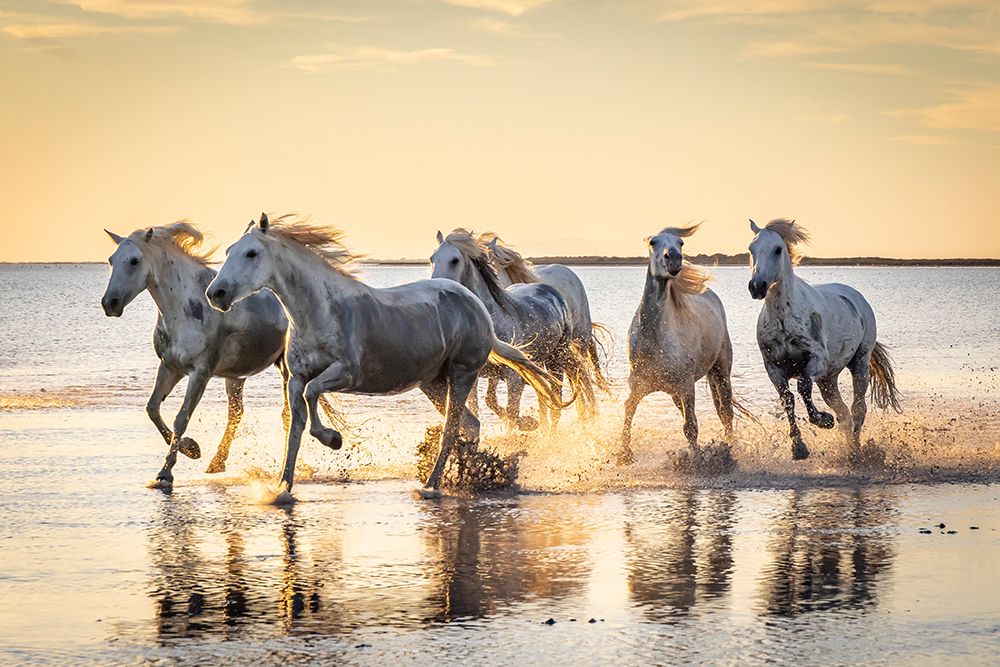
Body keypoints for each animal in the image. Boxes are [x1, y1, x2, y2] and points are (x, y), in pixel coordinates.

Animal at [101, 222, 289, 488]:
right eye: (112, 260)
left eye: (134, 261)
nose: (110, 303)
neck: (184, 308)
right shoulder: (170, 367)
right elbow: (152, 408)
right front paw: (192, 449)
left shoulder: (200, 373)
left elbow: (182, 417)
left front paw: (166, 472)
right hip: (235, 377)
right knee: (236, 413)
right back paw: (216, 463)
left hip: (285, 368)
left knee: (287, 415)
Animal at [430, 229, 577, 431]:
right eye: (432, 258)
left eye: (455, 260)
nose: (435, 285)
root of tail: (552, 292)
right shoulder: (475, 377)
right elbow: (484, 405)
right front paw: (527, 422)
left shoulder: (513, 378)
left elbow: (512, 413)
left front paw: (526, 423)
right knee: (543, 400)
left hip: (556, 360)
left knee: (555, 405)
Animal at [619, 223, 739, 467]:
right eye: (652, 242)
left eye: (680, 242)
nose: (674, 259)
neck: (654, 339)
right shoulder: (638, 385)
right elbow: (628, 410)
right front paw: (623, 454)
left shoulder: (686, 387)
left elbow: (690, 426)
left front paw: (696, 460)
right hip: (676, 392)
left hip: (721, 371)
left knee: (726, 412)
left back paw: (729, 447)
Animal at [748, 218, 901, 461]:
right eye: (751, 249)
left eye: (777, 249)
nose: (757, 286)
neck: (783, 319)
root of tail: (857, 297)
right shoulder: (774, 368)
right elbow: (788, 399)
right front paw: (799, 447)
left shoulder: (816, 360)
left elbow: (802, 386)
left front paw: (823, 420)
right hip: (828, 380)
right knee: (844, 412)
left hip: (859, 362)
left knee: (858, 408)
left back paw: (855, 453)